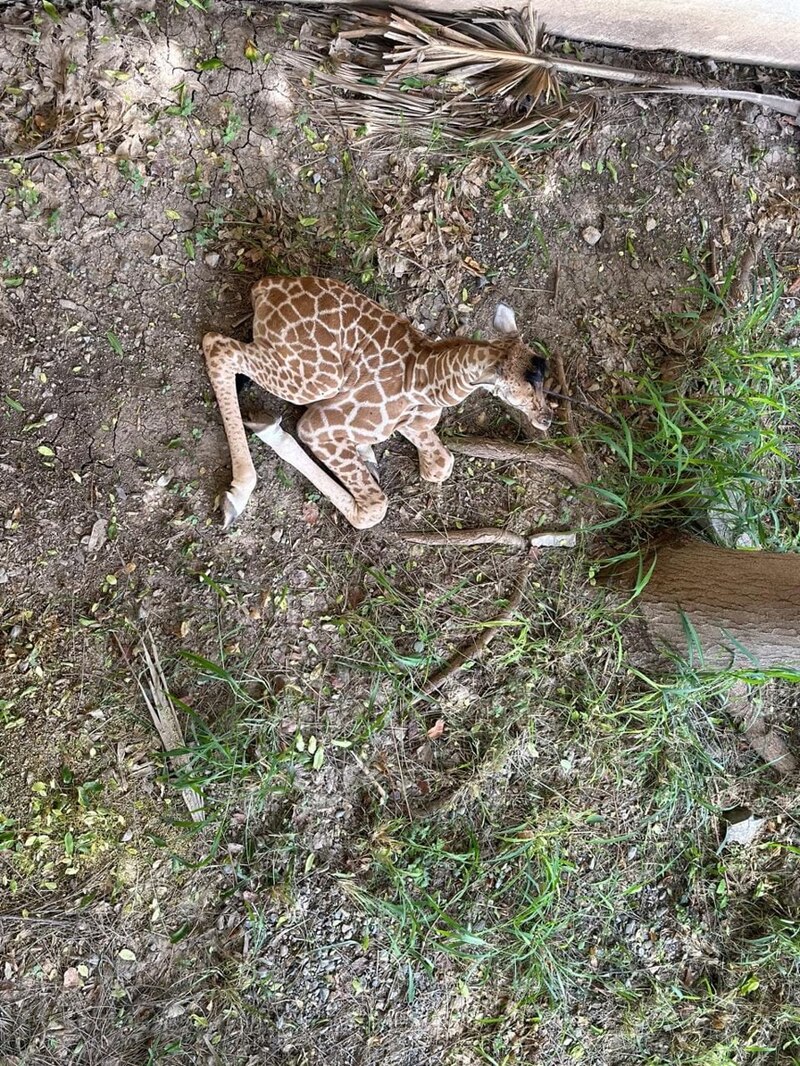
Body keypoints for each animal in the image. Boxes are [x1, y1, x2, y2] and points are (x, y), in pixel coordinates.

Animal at [201, 272, 550, 526]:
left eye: (543, 377)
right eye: (524, 389)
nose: (546, 418)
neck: (429, 380)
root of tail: (263, 288)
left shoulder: (414, 425)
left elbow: (441, 465)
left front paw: (368, 454)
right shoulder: (317, 427)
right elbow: (374, 508)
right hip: (318, 381)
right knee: (218, 345)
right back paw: (237, 495)